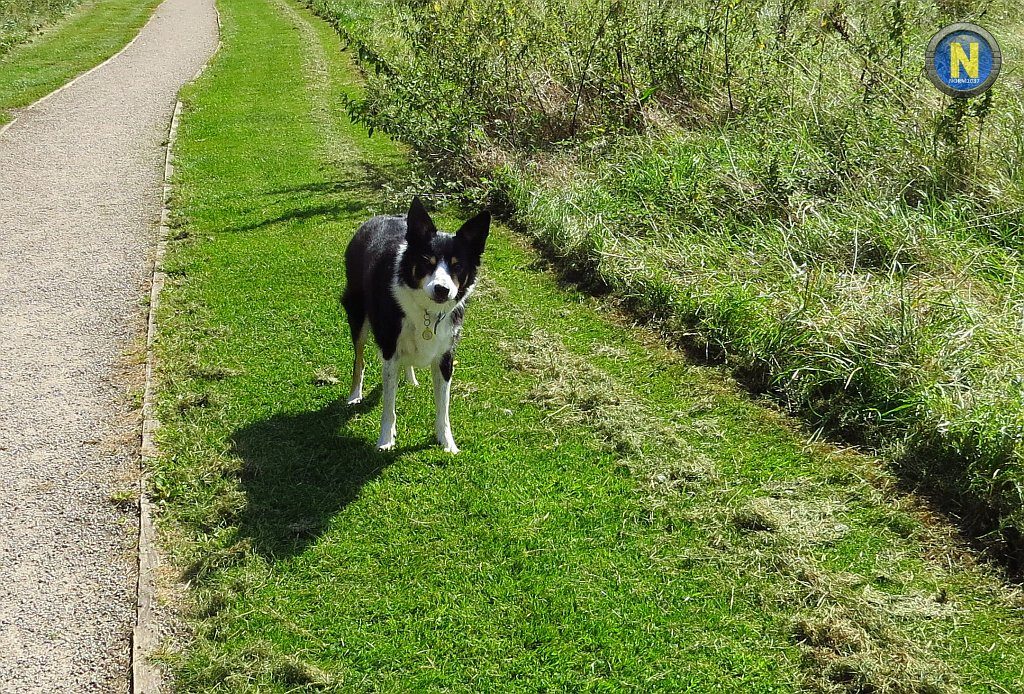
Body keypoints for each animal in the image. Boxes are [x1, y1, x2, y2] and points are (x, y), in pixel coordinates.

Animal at [342, 197, 489, 456]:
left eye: (457, 266)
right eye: (426, 262)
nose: (442, 289)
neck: (427, 311)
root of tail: (376, 217)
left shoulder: (445, 355)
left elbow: (443, 408)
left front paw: (447, 442)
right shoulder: (390, 349)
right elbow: (388, 405)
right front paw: (385, 440)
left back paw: (411, 379)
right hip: (357, 314)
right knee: (359, 359)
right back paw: (355, 395)